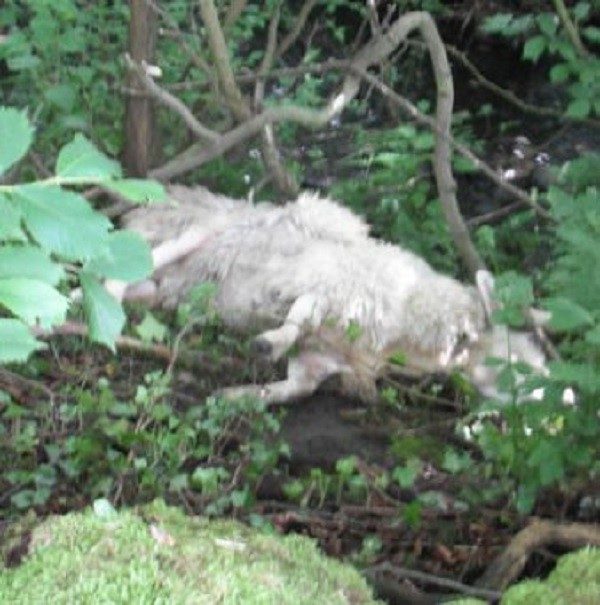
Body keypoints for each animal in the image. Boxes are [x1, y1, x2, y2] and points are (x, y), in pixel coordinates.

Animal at [120, 184, 548, 402]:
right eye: (517, 363)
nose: (561, 401)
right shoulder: (330, 284)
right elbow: (299, 315)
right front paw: (268, 343)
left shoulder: (323, 356)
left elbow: (297, 387)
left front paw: (240, 395)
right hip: (190, 237)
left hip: (162, 287)